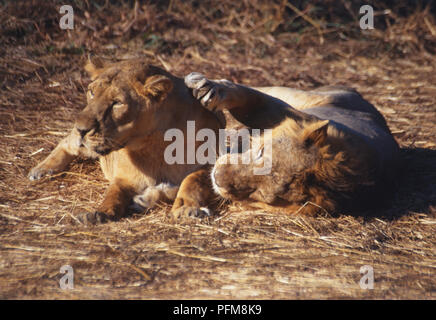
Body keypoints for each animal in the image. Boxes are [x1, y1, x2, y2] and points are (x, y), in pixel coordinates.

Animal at [27, 57, 223, 222]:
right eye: (91, 92)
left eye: (117, 103)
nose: (81, 128)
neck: (153, 145)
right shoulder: (124, 178)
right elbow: (113, 193)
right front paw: (98, 213)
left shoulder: (211, 162)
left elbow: (192, 180)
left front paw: (186, 208)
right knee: (66, 142)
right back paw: (42, 169)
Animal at [182, 73, 400, 216]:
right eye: (261, 153)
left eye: (257, 193)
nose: (217, 177)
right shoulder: (286, 113)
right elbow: (251, 99)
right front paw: (208, 89)